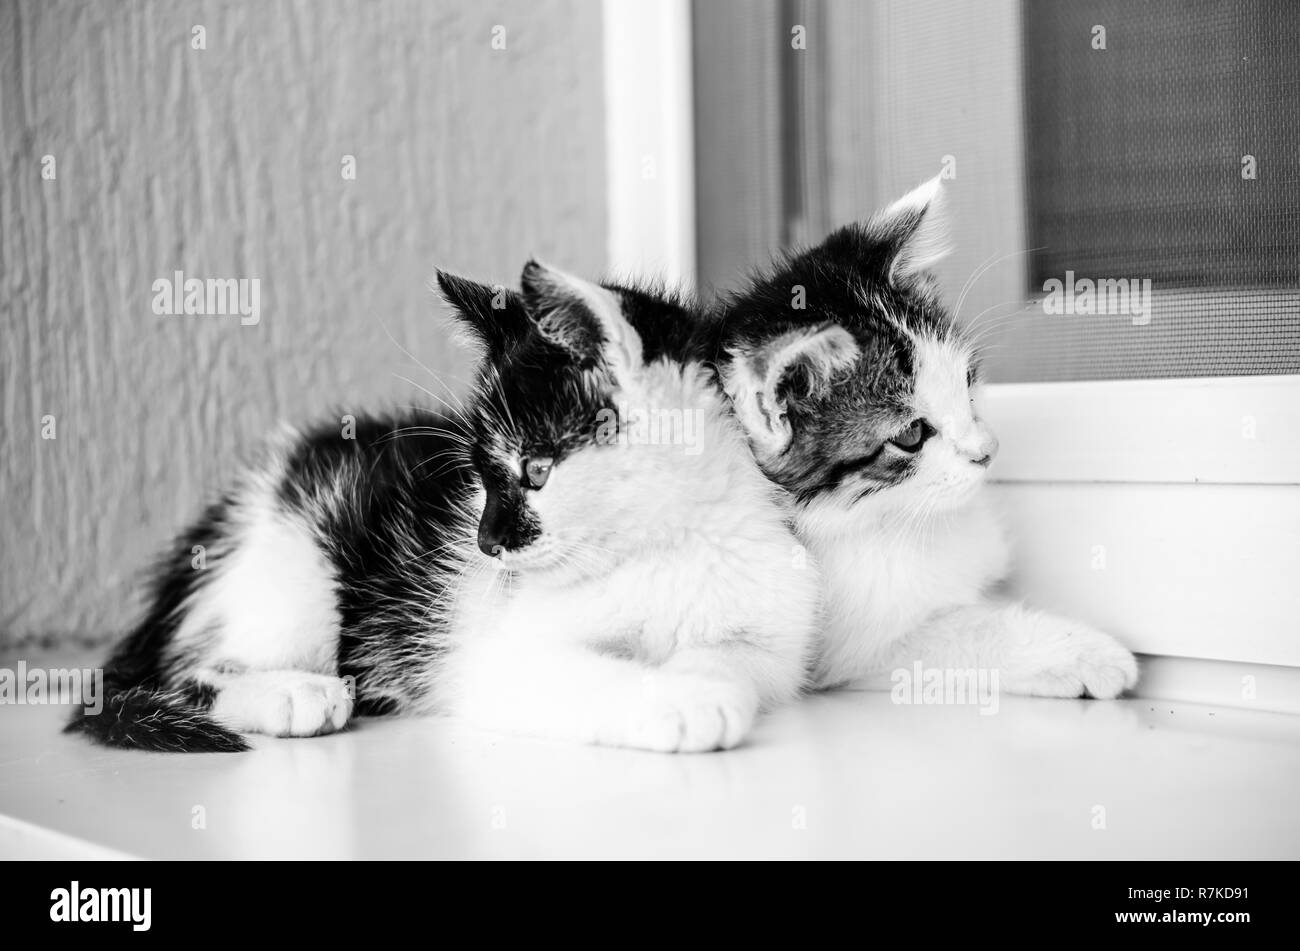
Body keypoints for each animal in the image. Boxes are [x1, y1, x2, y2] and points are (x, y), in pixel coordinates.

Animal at [65, 263, 816, 753]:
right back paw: (291, 695)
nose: (486, 543)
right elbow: (568, 674)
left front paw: (702, 678)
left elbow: (735, 656)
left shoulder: (771, 627)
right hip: (297, 554)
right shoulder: (496, 657)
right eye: (481, 475)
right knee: (191, 669)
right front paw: (680, 701)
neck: (664, 542)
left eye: (534, 470)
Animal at [712, 176, 1138, 696]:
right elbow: (962, 632)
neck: (889, 519)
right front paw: (1086, 651)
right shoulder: (850, 648)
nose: (988, 452)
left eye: (967, 379)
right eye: (912, 433)